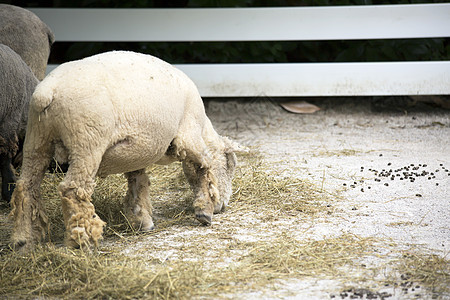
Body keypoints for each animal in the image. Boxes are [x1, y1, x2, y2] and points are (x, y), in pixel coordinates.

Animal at [9, 51, 239, 248]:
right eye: (231, 165)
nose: (222, 206)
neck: (203, 128)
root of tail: (47, 93)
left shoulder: (137, 153)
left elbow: (138, 181)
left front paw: (142, 220)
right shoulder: (189, 136)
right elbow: (203, 169)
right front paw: (204, 211)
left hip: (36, 140)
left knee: (25, 187)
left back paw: (23, 241)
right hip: (86, 142)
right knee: (72, 190)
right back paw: (81, 241)